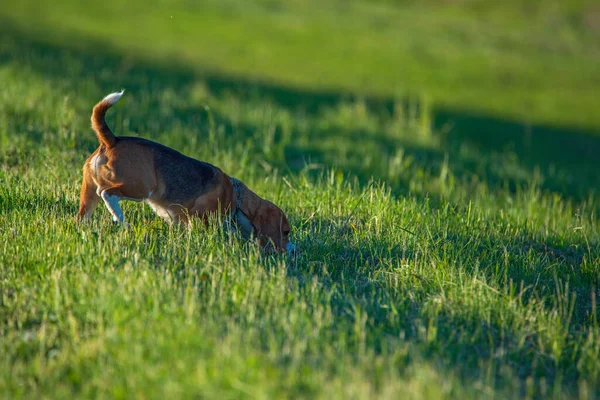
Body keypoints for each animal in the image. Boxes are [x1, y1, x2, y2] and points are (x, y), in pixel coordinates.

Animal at [78, 90, 294, 253]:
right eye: (286, 232)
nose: (292, 251)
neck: (237, 197)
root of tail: (111, 140)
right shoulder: (199, 217)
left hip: (89, 193)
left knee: (84, 213)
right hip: (141, 187)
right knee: (107, 193)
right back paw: (122, 220)